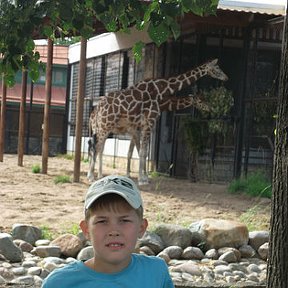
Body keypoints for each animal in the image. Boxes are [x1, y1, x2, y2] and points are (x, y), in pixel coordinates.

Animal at [88, 58, 227, 186]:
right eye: (217, 68)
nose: (226, 77)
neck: (161, 90)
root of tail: (98, 108)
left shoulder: (141, 127)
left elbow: (137, 151)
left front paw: (141, 177)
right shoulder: (147, 123)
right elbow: (142, 151)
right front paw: (142, 179)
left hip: (104, 128)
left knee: (98, 147)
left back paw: (97, 175)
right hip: (104, 126)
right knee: (96, 147)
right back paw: (92, 177)